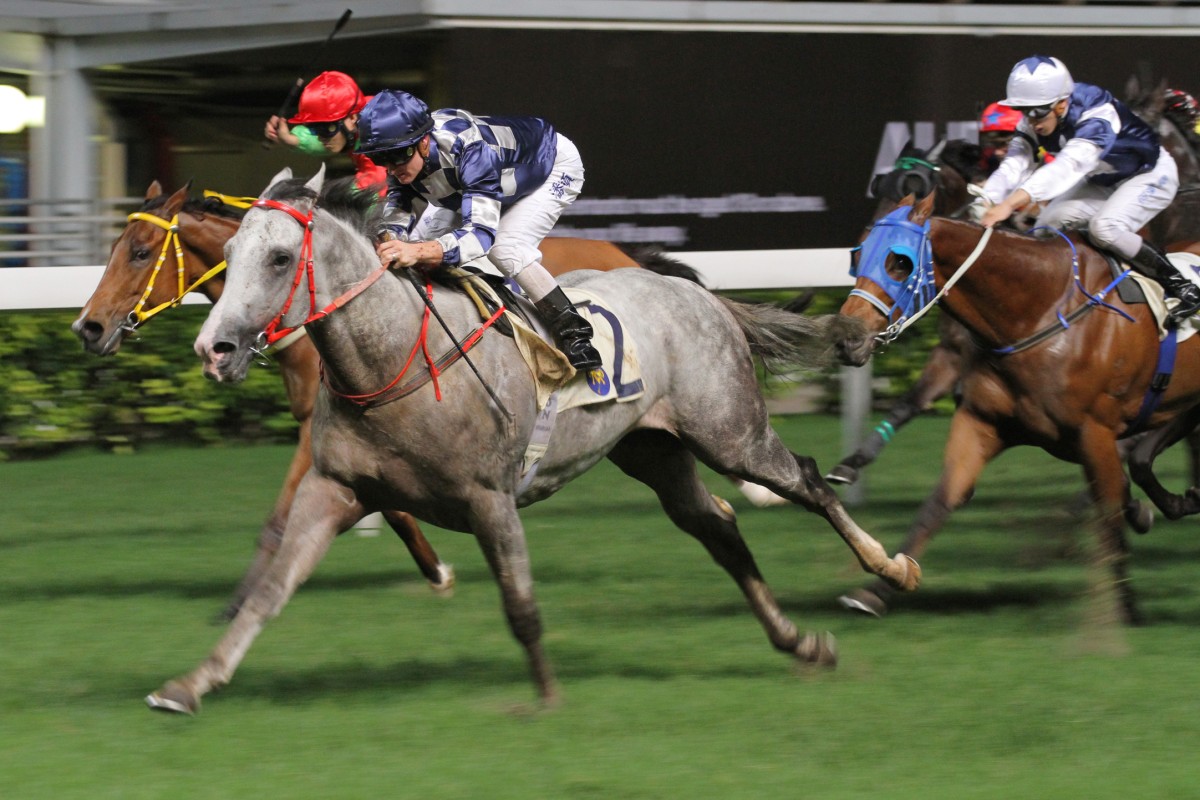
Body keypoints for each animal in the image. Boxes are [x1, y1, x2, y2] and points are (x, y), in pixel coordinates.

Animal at [72, 181, 710, 618]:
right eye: (116, 245)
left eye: (140, 250)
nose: (88, 327)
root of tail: (631, 258)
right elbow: (394, 506)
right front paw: (435, 567)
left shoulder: (319, 427)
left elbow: (279, 520)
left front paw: (240, 599)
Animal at [147, 167, 916, 714]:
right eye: (229, 255)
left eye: (280, 258)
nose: (213, 350)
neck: (393, 360)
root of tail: (703, 296)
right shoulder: (334, 489)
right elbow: (270, 590)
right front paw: (188, 685)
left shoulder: (490, 498)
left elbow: (520, 605)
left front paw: (546, 699)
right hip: (654, 452)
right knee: (718, 528)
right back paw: (800, 642)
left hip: (730, 432)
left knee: (808, 479)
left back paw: (889, 568)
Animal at [830, 190, 1200, 623]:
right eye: (858, 254)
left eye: (899, 262)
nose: (845, 340)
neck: (1039, 309)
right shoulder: (982, 420)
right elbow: (942, 499)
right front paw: (880, 587)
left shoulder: (1095, 431)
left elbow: (1107, 506)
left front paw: (1125, 606)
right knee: (1144, 458)